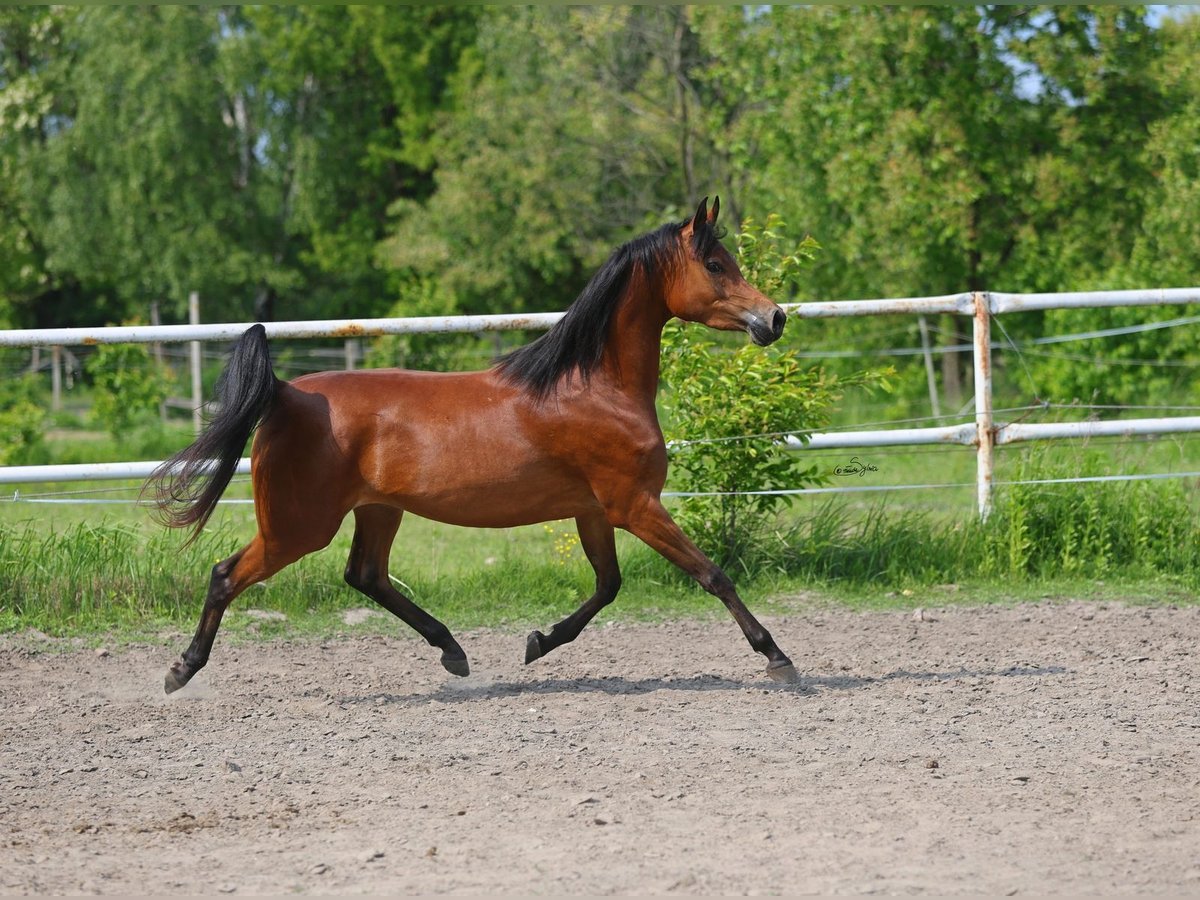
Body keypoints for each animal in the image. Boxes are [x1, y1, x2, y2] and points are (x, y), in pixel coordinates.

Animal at [146, 197, 799, 694]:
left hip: (376, 510)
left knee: (366, 576)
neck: (595, 386)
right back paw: (181, 671)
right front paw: (779, 659)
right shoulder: (635, 505)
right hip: (297, 526)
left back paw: (453, 652)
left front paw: (538, 642)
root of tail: (283, 393)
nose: (775, 318)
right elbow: (713, 575)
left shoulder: (595, 511)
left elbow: (608, 587)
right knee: (226, 574)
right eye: (714, 264)